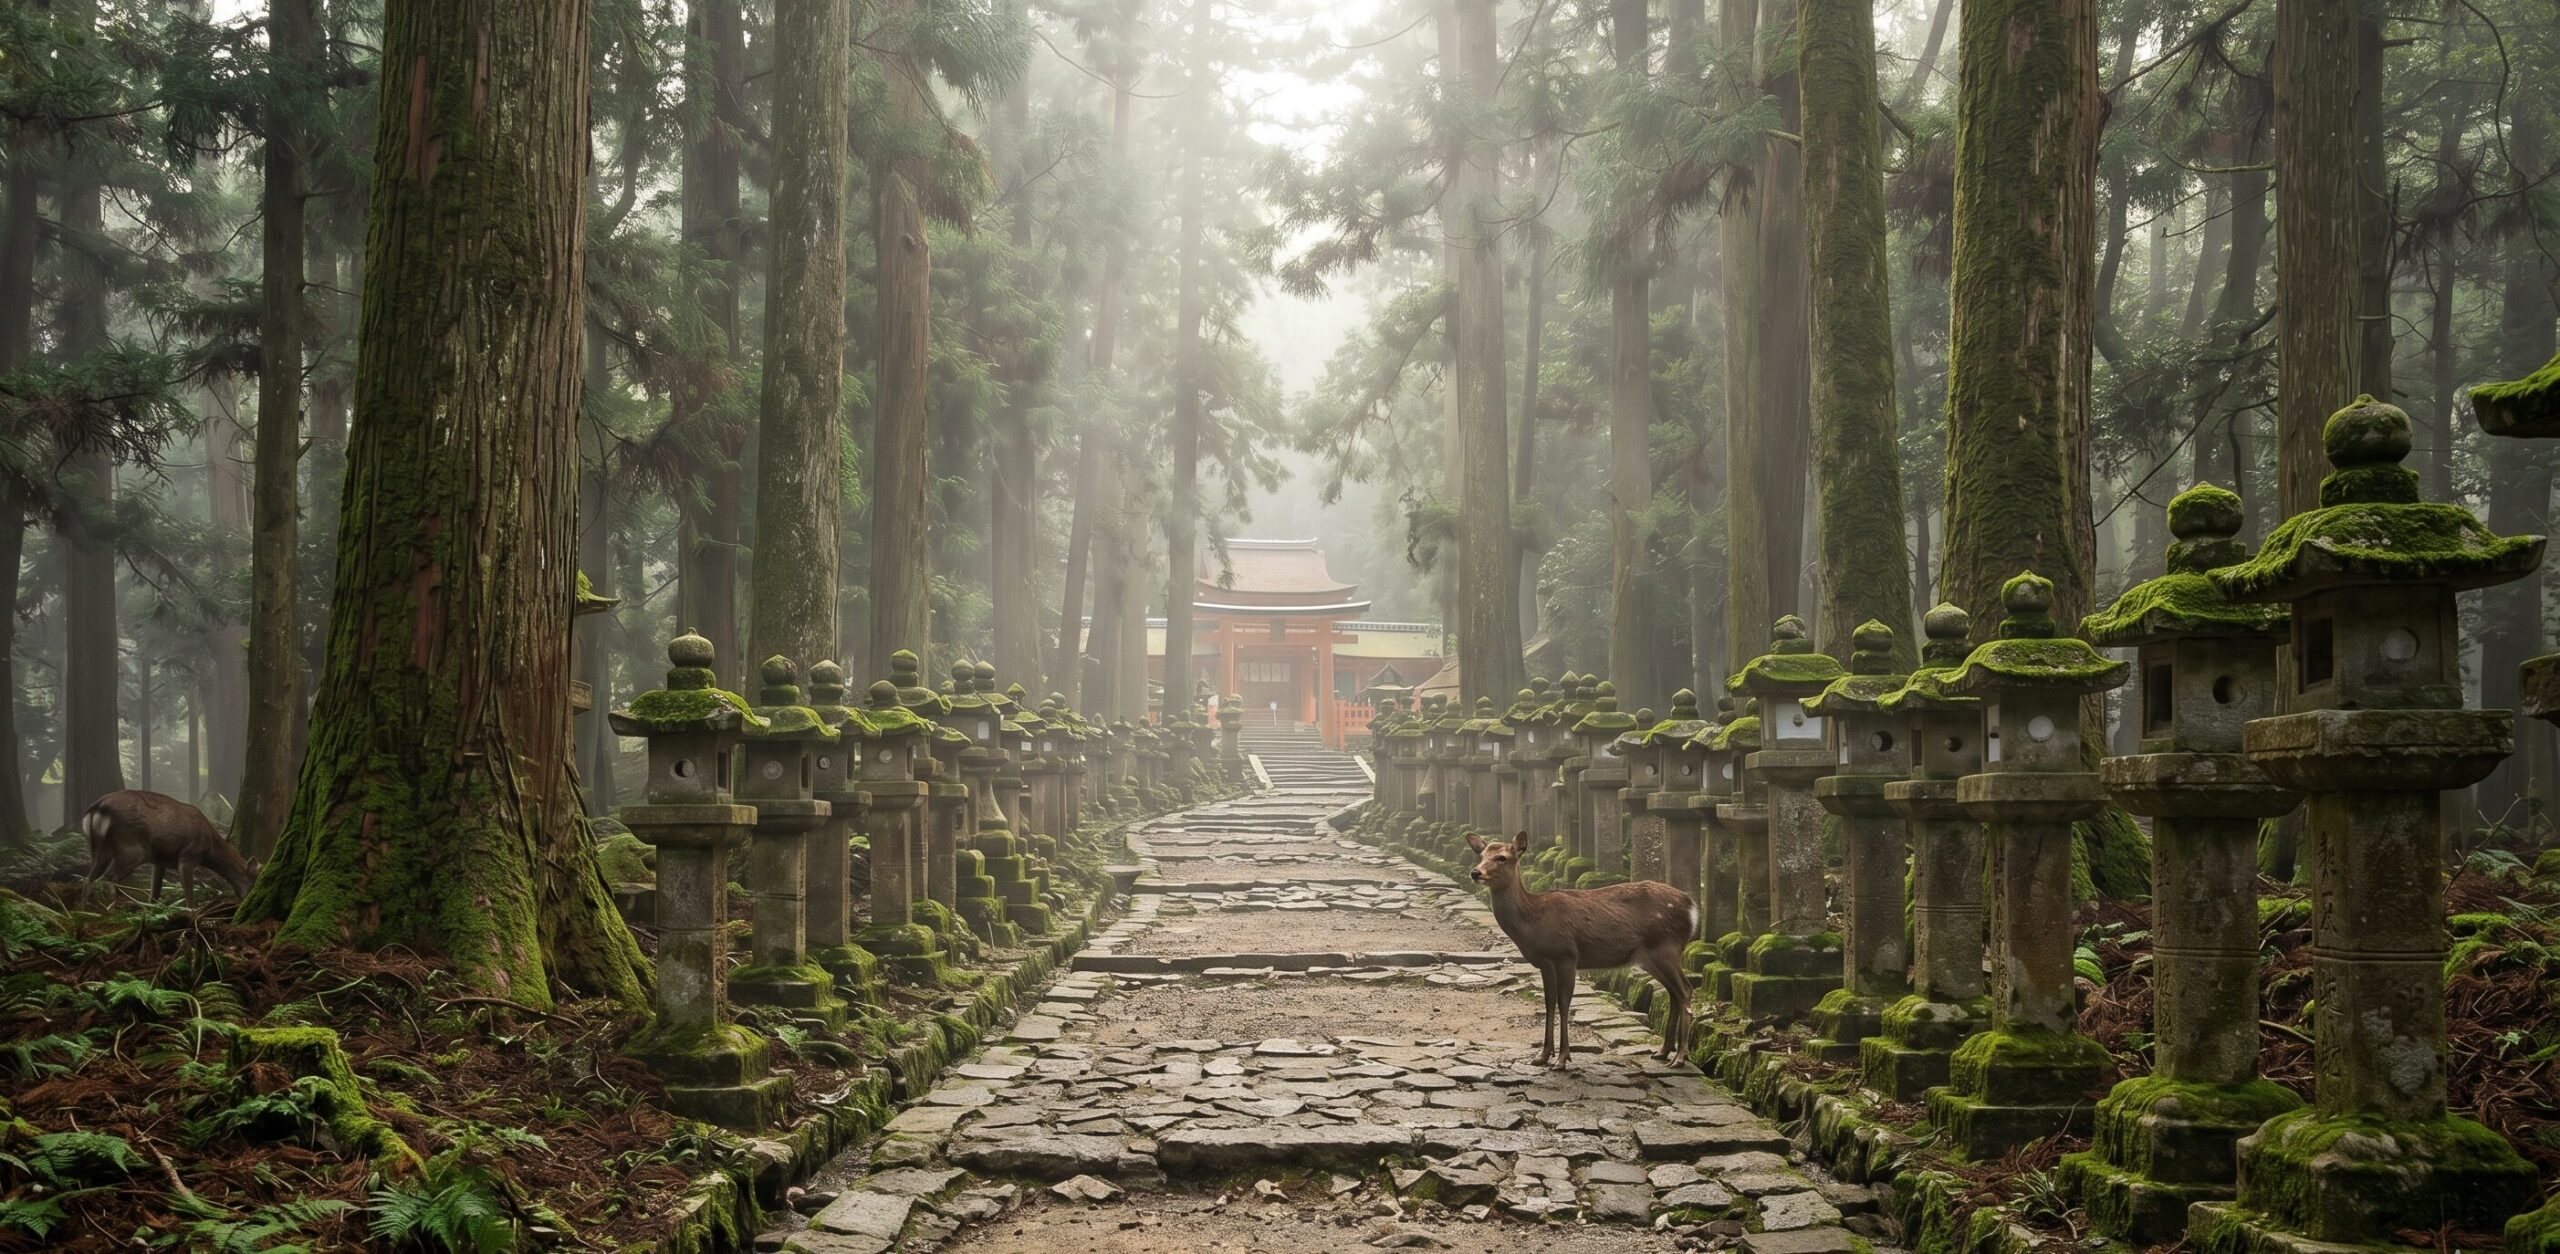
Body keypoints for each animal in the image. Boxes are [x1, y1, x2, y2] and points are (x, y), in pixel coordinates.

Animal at [81, 790, 257, 906]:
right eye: (252, 884)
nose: (247, 901)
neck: (209, 849)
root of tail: (96, 809)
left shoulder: (159, 860)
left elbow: (155, 894)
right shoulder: (187, 856)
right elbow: (189, 894)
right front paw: (192, 913)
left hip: (98, 847)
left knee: (88, 879)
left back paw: (83, 915)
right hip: (132, 849)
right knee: (108, 879)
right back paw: (111, 913)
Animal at [1468, 830, 1696, 1068]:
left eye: (1502, 858)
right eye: (1481, 855)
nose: (1475, 872)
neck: (1534, 921)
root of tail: (1692, 907)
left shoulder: (1567, 955)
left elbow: (1564, 1003)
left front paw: (1562, 1058)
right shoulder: (1545, 963)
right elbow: (1549, 1002)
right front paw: (1542, 1055)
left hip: (1667, 948)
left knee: (1685, 989)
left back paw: (1680, 1057)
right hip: (1651, 958)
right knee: (1673, 993)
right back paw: (1663, 1051)